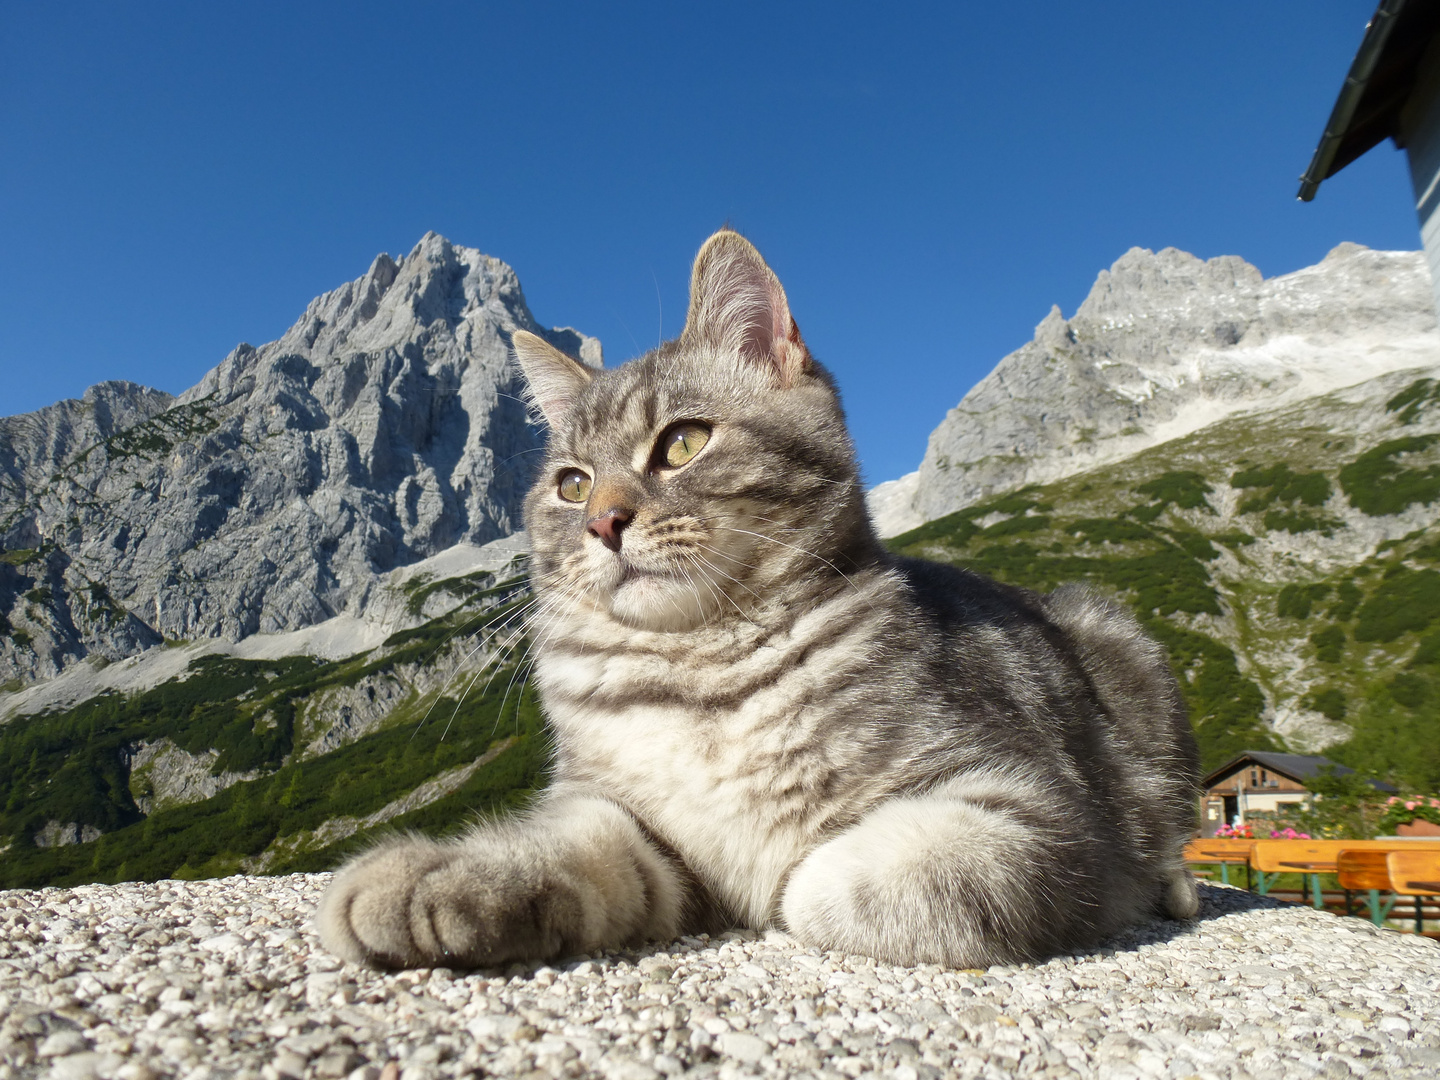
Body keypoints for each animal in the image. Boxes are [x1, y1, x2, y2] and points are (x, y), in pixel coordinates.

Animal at [318, 228, 1203, 973]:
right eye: (569, 485)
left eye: (682, 442)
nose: (603, 520)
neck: (698, 675)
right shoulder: (628, 820)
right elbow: (569, 849)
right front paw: (441, 877)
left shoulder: (1032, 808)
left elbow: (835, 880)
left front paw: (783, 884)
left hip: (1122, 643)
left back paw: (1177, 884)